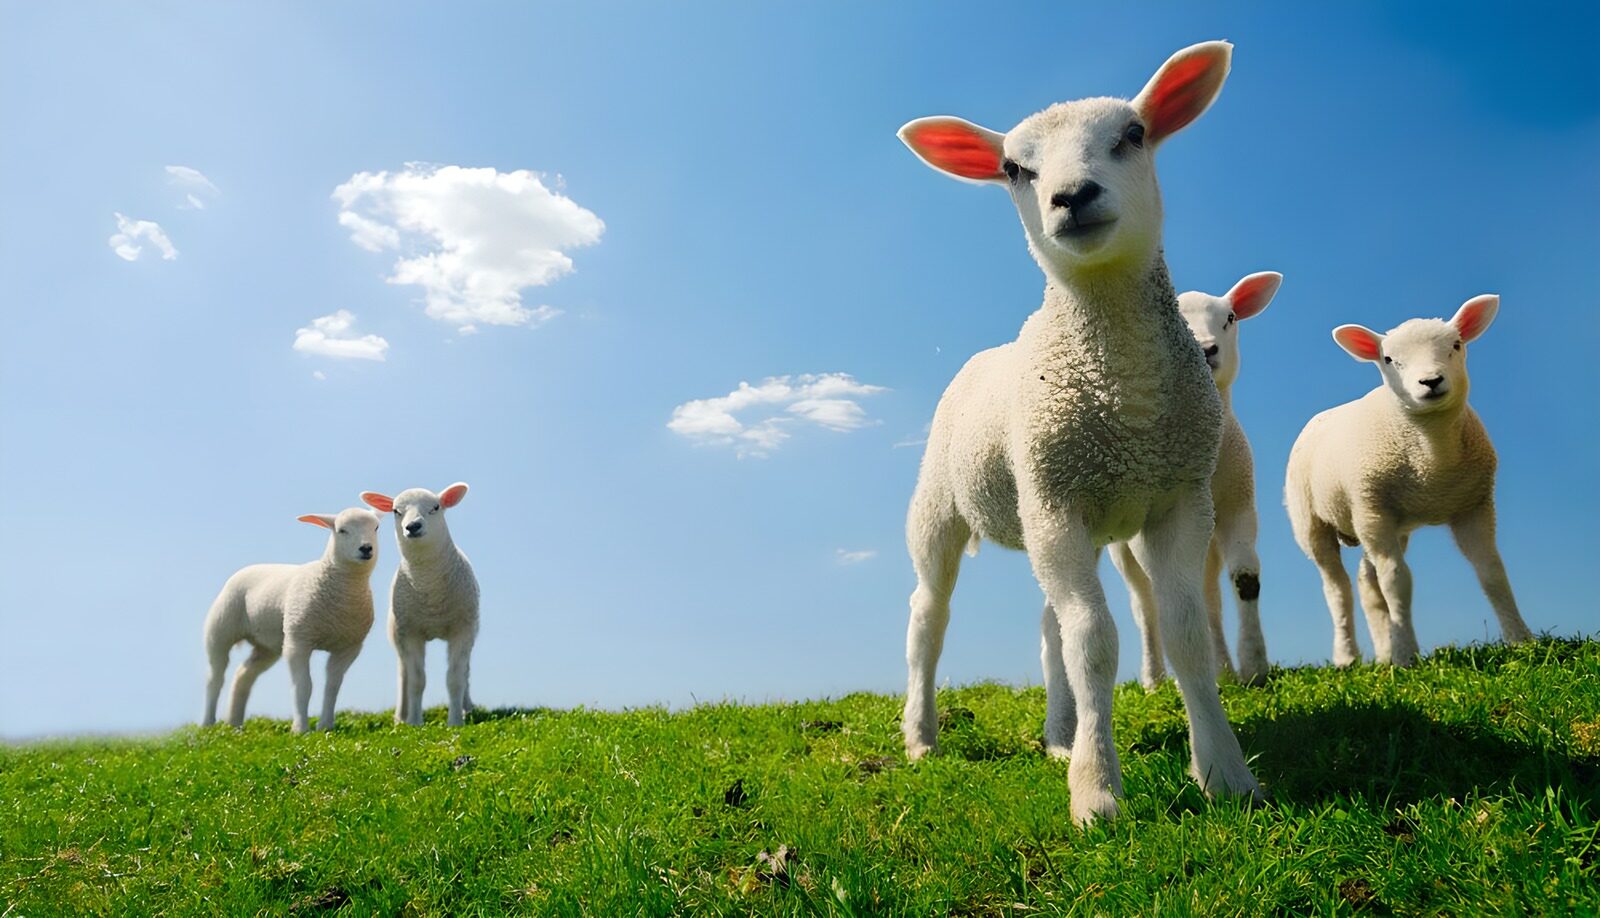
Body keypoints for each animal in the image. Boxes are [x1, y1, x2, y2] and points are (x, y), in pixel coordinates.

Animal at [202, 508, 381, 733]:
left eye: (376, 528)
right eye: (342, 530)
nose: (366, 548)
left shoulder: (349, 647)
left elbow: (332, 686)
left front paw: (325, 726)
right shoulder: (298, 641)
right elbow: (303, 686)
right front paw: (300, 729)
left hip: (268, 645)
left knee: (244, 674)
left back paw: (235, 724)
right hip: (220, 630)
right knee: (215, 677)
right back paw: (207, 723)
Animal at [360, 483, 480, 727]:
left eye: (436, 507)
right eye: (396, 511)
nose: (413, 526)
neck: (429, 587)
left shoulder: (462, 629)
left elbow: (455, 677)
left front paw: (456, 721)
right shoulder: (410, 632)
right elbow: (416, 680)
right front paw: (415, 722)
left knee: (466, 671)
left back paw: (467, 708)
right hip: (397, 634)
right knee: (403, 674)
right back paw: (401, 717)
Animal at [896, 41, 1261, 823]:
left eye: (1134, 134)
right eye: (1014, 169)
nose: (1072, 196)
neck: (1127, 399)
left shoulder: (1177, 498)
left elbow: (1183, 632)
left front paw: (1225, 772)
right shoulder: (1057, 502)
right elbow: (1094, 641)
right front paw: (1097, 794)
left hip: (1064, 515)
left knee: (1048, 627)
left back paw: (1059, 735)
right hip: (950, 507)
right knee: (928, 620)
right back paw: (921, 736)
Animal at [1109, 271, 1282, 689]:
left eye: (1231, 318)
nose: (1206, 349)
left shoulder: (1239, 507)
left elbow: (1245, 579)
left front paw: (1253, 665)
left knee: (1207, 597)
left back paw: (1222, 668)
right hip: (1122, 548)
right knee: (1145, 604)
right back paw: (1154, 679)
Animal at [1285, 294, 1533, 667]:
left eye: (1456, 345)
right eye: (1389, 359)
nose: (1430, 381)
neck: (1432, 460)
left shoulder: (1474, 505)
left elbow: (1491, 571)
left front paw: (1522, 640)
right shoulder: (1373, 509)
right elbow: (1396, 582)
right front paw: (1406, 656)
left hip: (1382, 522)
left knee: (1367, 582)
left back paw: (1383, 653)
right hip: (1314, 520)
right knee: (1337, 588)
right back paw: (1347, 656)